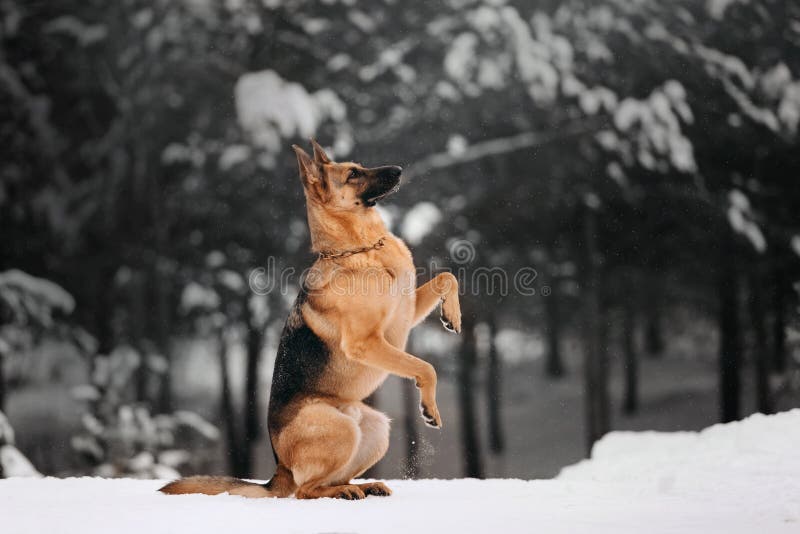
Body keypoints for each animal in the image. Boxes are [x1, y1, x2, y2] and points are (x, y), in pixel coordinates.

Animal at [161, 140, 462, 500]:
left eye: (359, 165)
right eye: (353, 174)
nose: (399, 170)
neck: (363, 248)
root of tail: (279, 470)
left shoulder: (405, 316)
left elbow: (447, 277)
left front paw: (452, 316)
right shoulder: (366, 342)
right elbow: (425, 367)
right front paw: (429, 407)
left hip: (376, 429)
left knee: (326, 481)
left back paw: (364, 486)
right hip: (341, 428)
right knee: (305, 490)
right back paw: (344, 492)